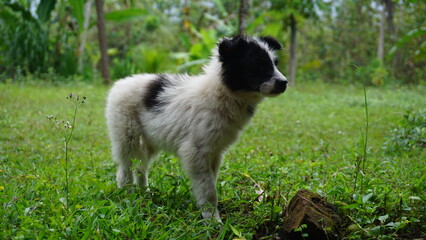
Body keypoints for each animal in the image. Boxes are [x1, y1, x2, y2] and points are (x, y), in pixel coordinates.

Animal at [105, 34, 288, 220]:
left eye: (275, 63)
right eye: (257, 64)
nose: (284, 83)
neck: (222, 93)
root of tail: (121, 82)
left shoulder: (215, 151)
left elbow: (210, 181)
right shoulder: (196, 150)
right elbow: (208, 188)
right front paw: (212, 218)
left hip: (151, 139)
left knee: (140, 166)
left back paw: (144, 192)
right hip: (126, 134)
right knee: (125, 168)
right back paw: (128, 195)